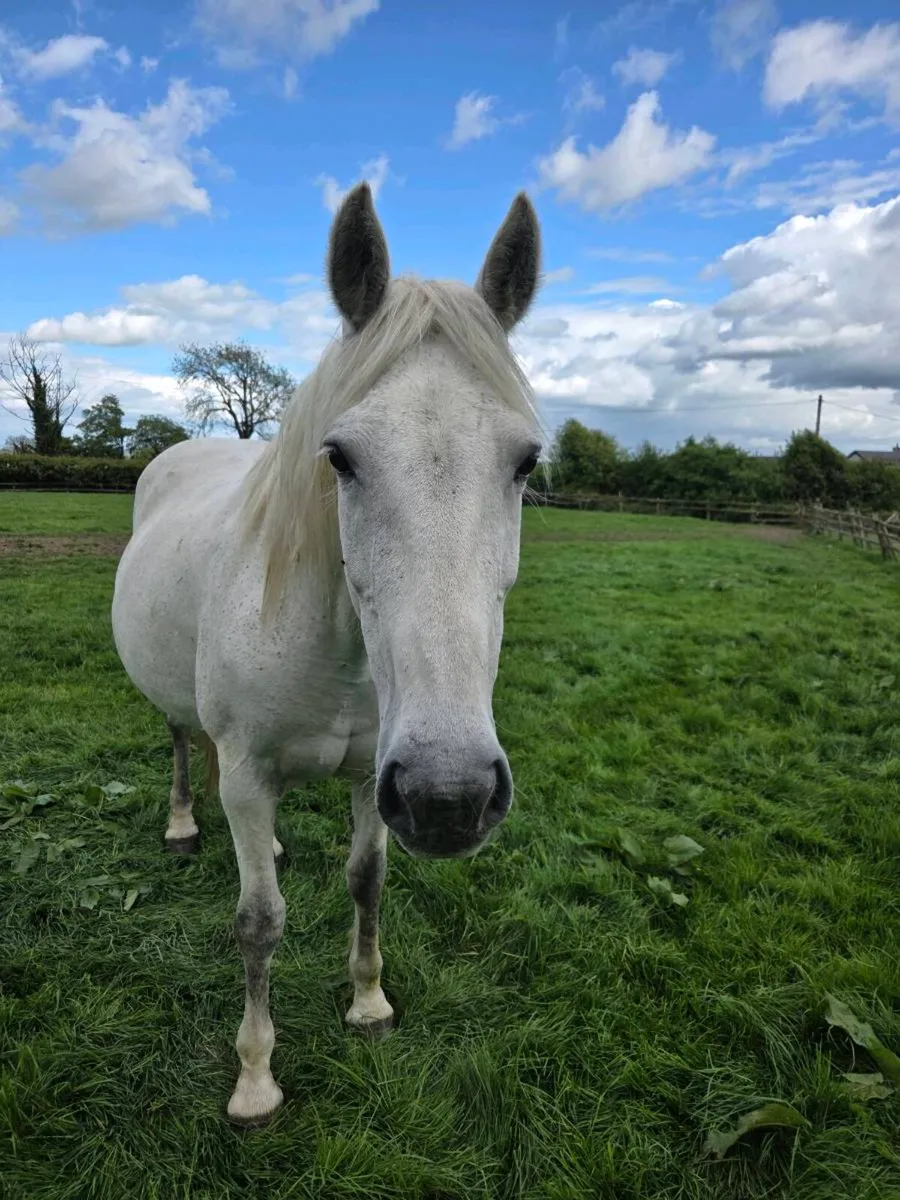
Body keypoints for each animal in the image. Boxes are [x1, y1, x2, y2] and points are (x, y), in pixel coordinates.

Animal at [111, 183, 543, 1124]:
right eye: (340, 457)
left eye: (527, 462)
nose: (453, 797)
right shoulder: (249, 774)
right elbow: (258, 925)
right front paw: (255, 1078)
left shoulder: (371, 777)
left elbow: (366, 881)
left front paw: (369, 1002)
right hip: (180, 716)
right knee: (181, 743)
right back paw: (183, 824)